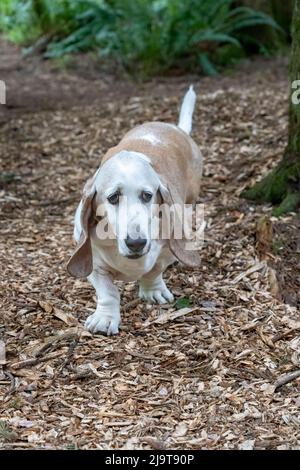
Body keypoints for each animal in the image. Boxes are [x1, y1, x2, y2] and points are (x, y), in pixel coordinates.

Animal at [67, 84, 203, 334]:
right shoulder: (95, 264)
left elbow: (154, 271)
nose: (136, 243)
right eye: (113, 197)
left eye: (147, 196)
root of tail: (176, 129)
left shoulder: (165, 254)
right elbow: (108, 292)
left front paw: (153, 291)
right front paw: (105, 319)